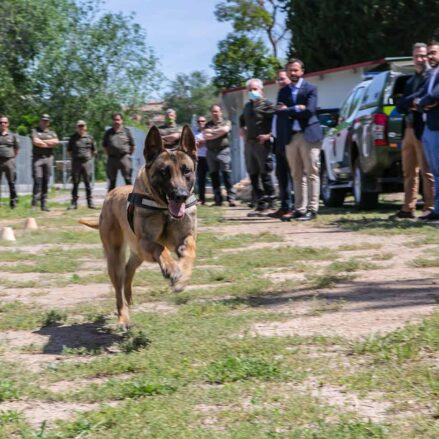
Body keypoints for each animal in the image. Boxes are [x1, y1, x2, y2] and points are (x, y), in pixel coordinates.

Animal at [80, 125, 199, 328]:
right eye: (164, 172)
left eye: (186, 171)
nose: (181, 195)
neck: (163, 208)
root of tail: (111, 194)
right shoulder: (145, 242)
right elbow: (160, 248)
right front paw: (172, 269)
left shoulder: (185, 237)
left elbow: (189, 249)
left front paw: (182, 278)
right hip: (116, 257)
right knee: (119, 288)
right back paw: (124, 318)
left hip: (137, 254)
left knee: (129, 271)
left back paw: (130, 298)